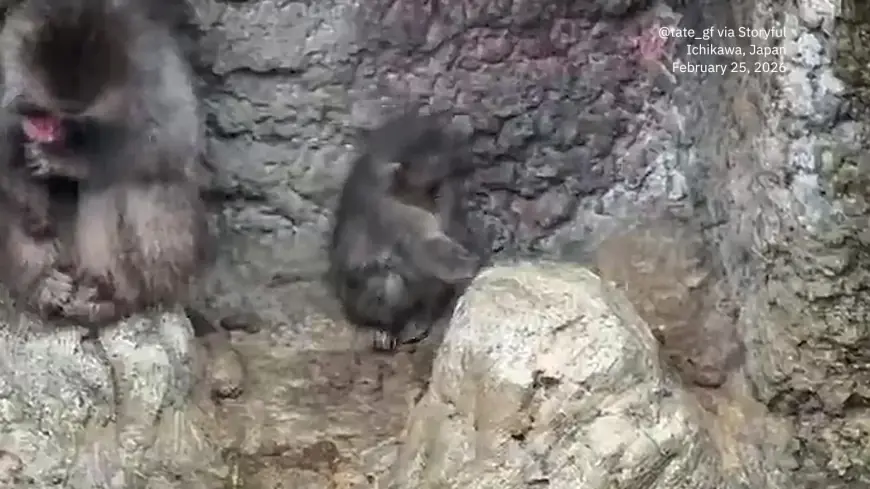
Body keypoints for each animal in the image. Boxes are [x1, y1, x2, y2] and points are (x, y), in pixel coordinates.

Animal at [328, 110, 483, 352]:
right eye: (436, 158)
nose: (462, 166)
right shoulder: (392, 210)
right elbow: (425, 247)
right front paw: (472, 265)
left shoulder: (443, 194)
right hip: (354, 300)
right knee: (387, 279)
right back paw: (384, 326)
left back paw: (421, 319)